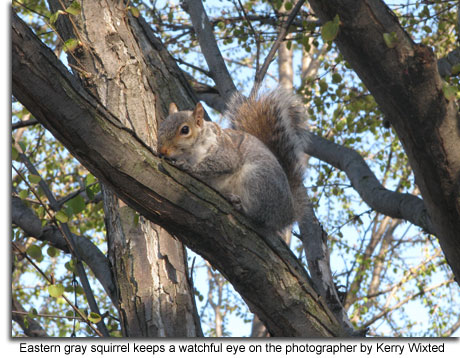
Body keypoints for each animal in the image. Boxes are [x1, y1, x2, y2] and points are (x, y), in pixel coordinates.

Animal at [157, 88, 306, 234]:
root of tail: (289, 212)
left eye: (185, 130)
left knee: (259, 215)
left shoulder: (226, 152)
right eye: (161, 126)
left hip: (258, 180)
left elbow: (220, 163)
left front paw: (188, 167)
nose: (162, 150)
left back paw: (240, 205)